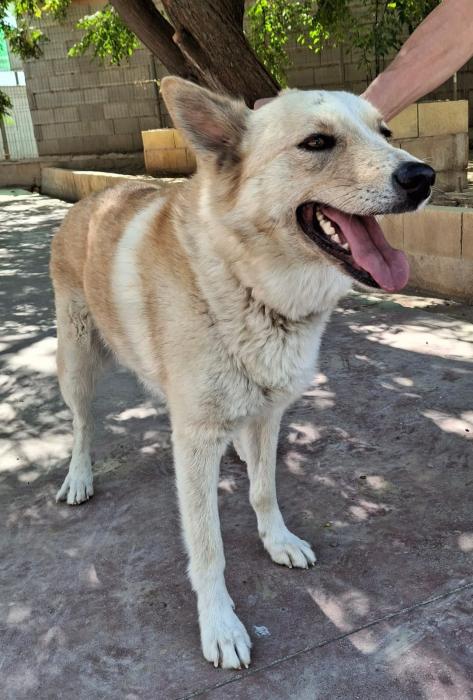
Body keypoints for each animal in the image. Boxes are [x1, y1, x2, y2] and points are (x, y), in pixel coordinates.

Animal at [50, 77, 434, 669]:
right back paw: (79, 476)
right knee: (83, 424)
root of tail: (87, 202)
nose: (423, 177)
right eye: (317, 143)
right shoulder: (195, 438)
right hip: (78, 363)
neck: (244, 284)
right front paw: (220, 625)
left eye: (385, 132)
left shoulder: (269, 414)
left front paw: (277, 540)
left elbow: (264, 489)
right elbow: (207, 545)